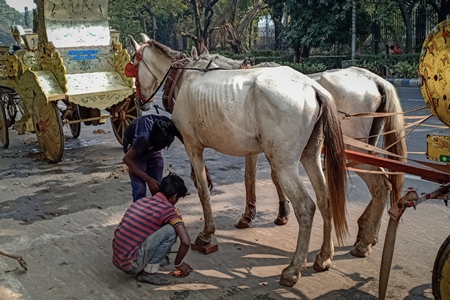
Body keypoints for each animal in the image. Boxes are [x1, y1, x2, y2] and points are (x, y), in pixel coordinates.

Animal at [198, 48, 408, 258]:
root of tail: (375, 79)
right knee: (383, 179)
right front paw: (282, 213)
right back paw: (365, 233)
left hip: (353, 150)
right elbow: (274, 176)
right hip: (368, 145)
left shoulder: (258, 147)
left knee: (381, 184)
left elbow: (251, 176)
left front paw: (249, 216)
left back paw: (364, 240)